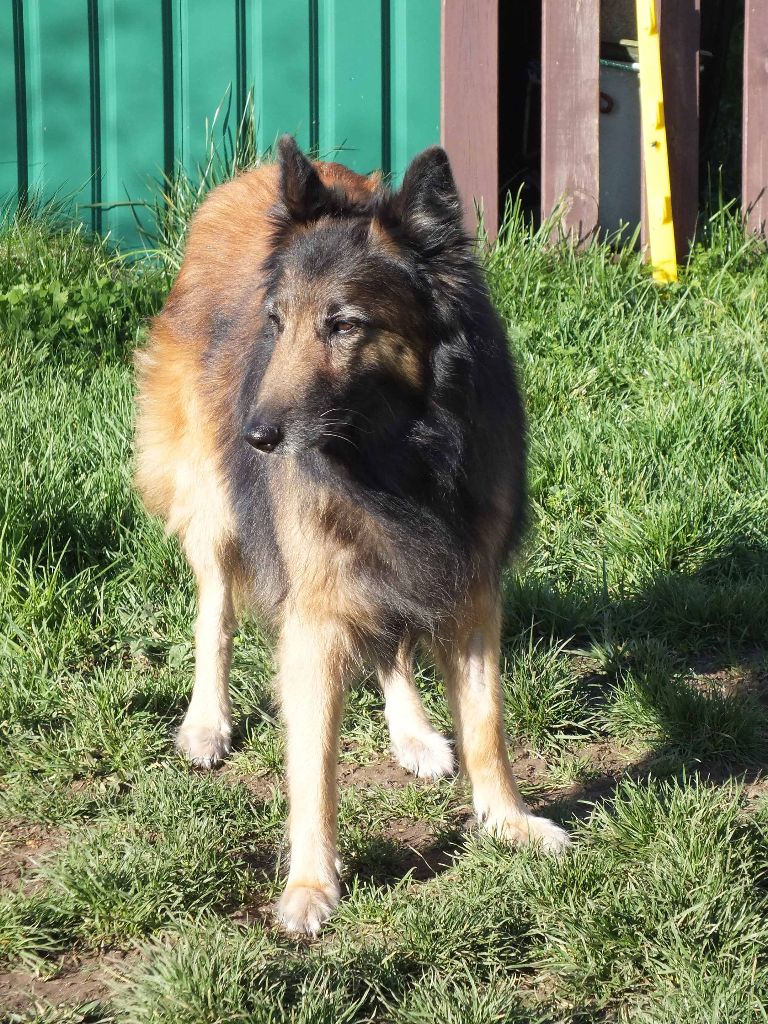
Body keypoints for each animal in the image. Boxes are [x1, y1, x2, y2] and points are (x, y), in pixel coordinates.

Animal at [135, 136, 573, 937]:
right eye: (277, 321)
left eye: (344, 325)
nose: (256, 436)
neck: (399, 454)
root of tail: (247, 179)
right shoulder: (312, 613)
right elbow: (314, 765)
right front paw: (311, 886)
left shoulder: (468, 583)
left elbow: (487, 723)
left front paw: (508, 822)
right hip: (213, 502)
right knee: (215, 608)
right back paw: (207, 723)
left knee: (389, 645)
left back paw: (414, 733)